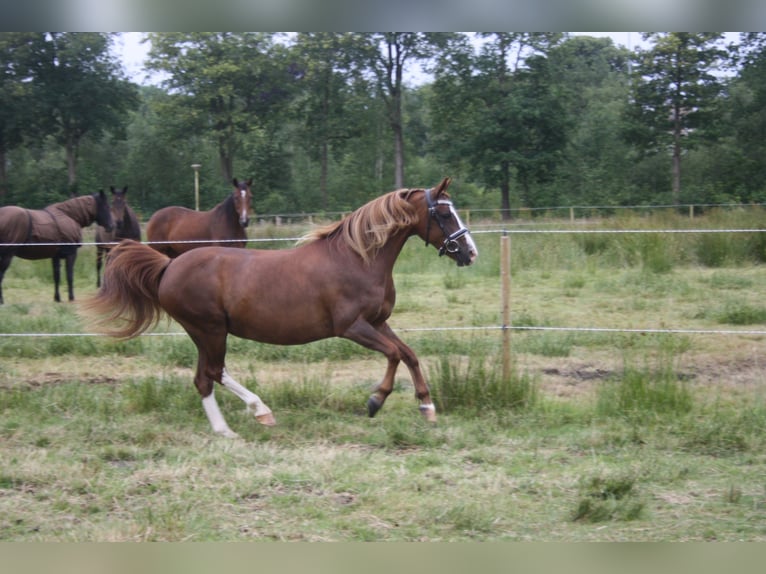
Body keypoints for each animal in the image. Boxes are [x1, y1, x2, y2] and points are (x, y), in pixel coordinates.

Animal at [85, 178, 480, 438]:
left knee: (205, 377)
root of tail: (168, 267)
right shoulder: (352, 327)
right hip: (208, 329)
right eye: (444, 213)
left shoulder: (378, 322)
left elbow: (408, 353)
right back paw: (253, 416)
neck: (358, 259)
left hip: (206, 333)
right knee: (211, 373)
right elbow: (395, 355)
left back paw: (231, 427)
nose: (470, 252)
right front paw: (375, 401)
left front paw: (427, 407)